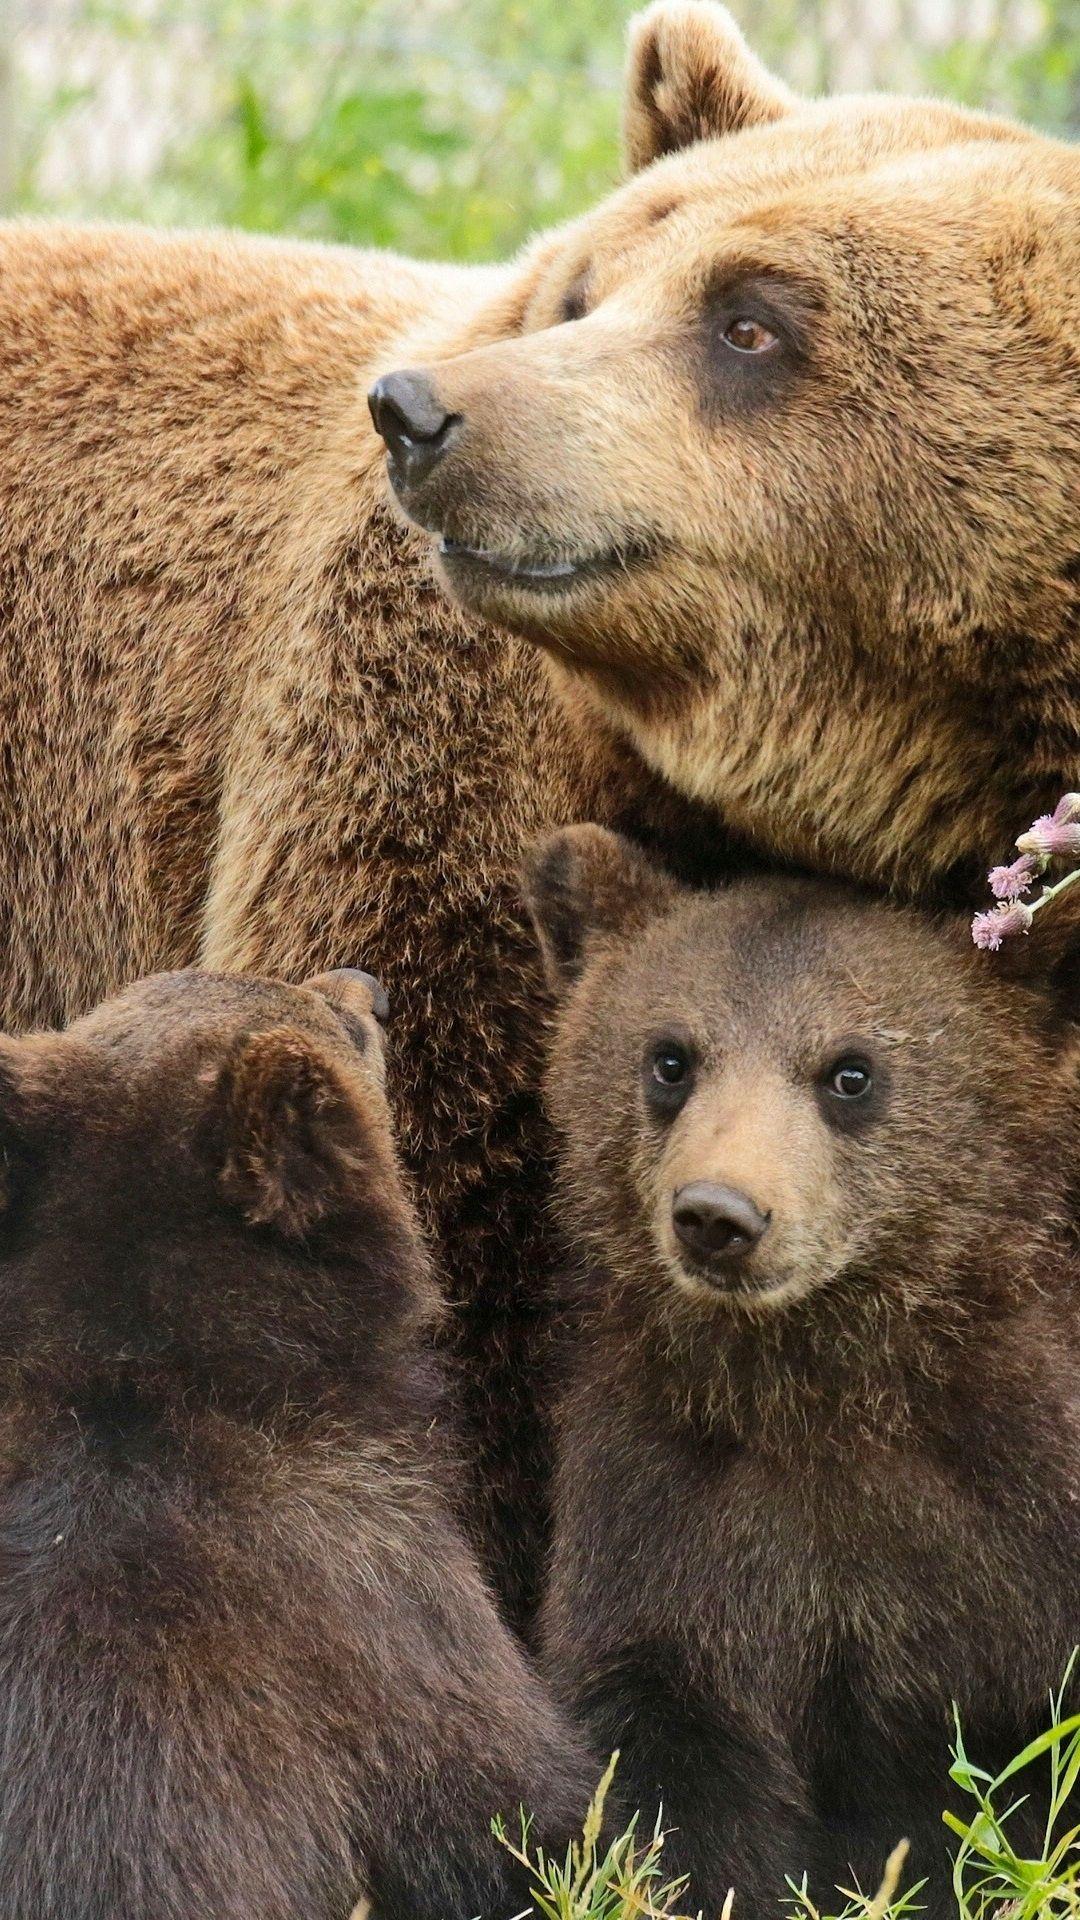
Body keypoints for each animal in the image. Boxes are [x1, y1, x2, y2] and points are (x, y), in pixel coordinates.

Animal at [522, 822, 1080, 1920]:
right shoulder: (661, 1510)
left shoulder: (1017, 1511)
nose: (719, 1215)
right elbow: (664, 1766)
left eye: (850, 1072)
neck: (818, 1391)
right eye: (670, 1057)